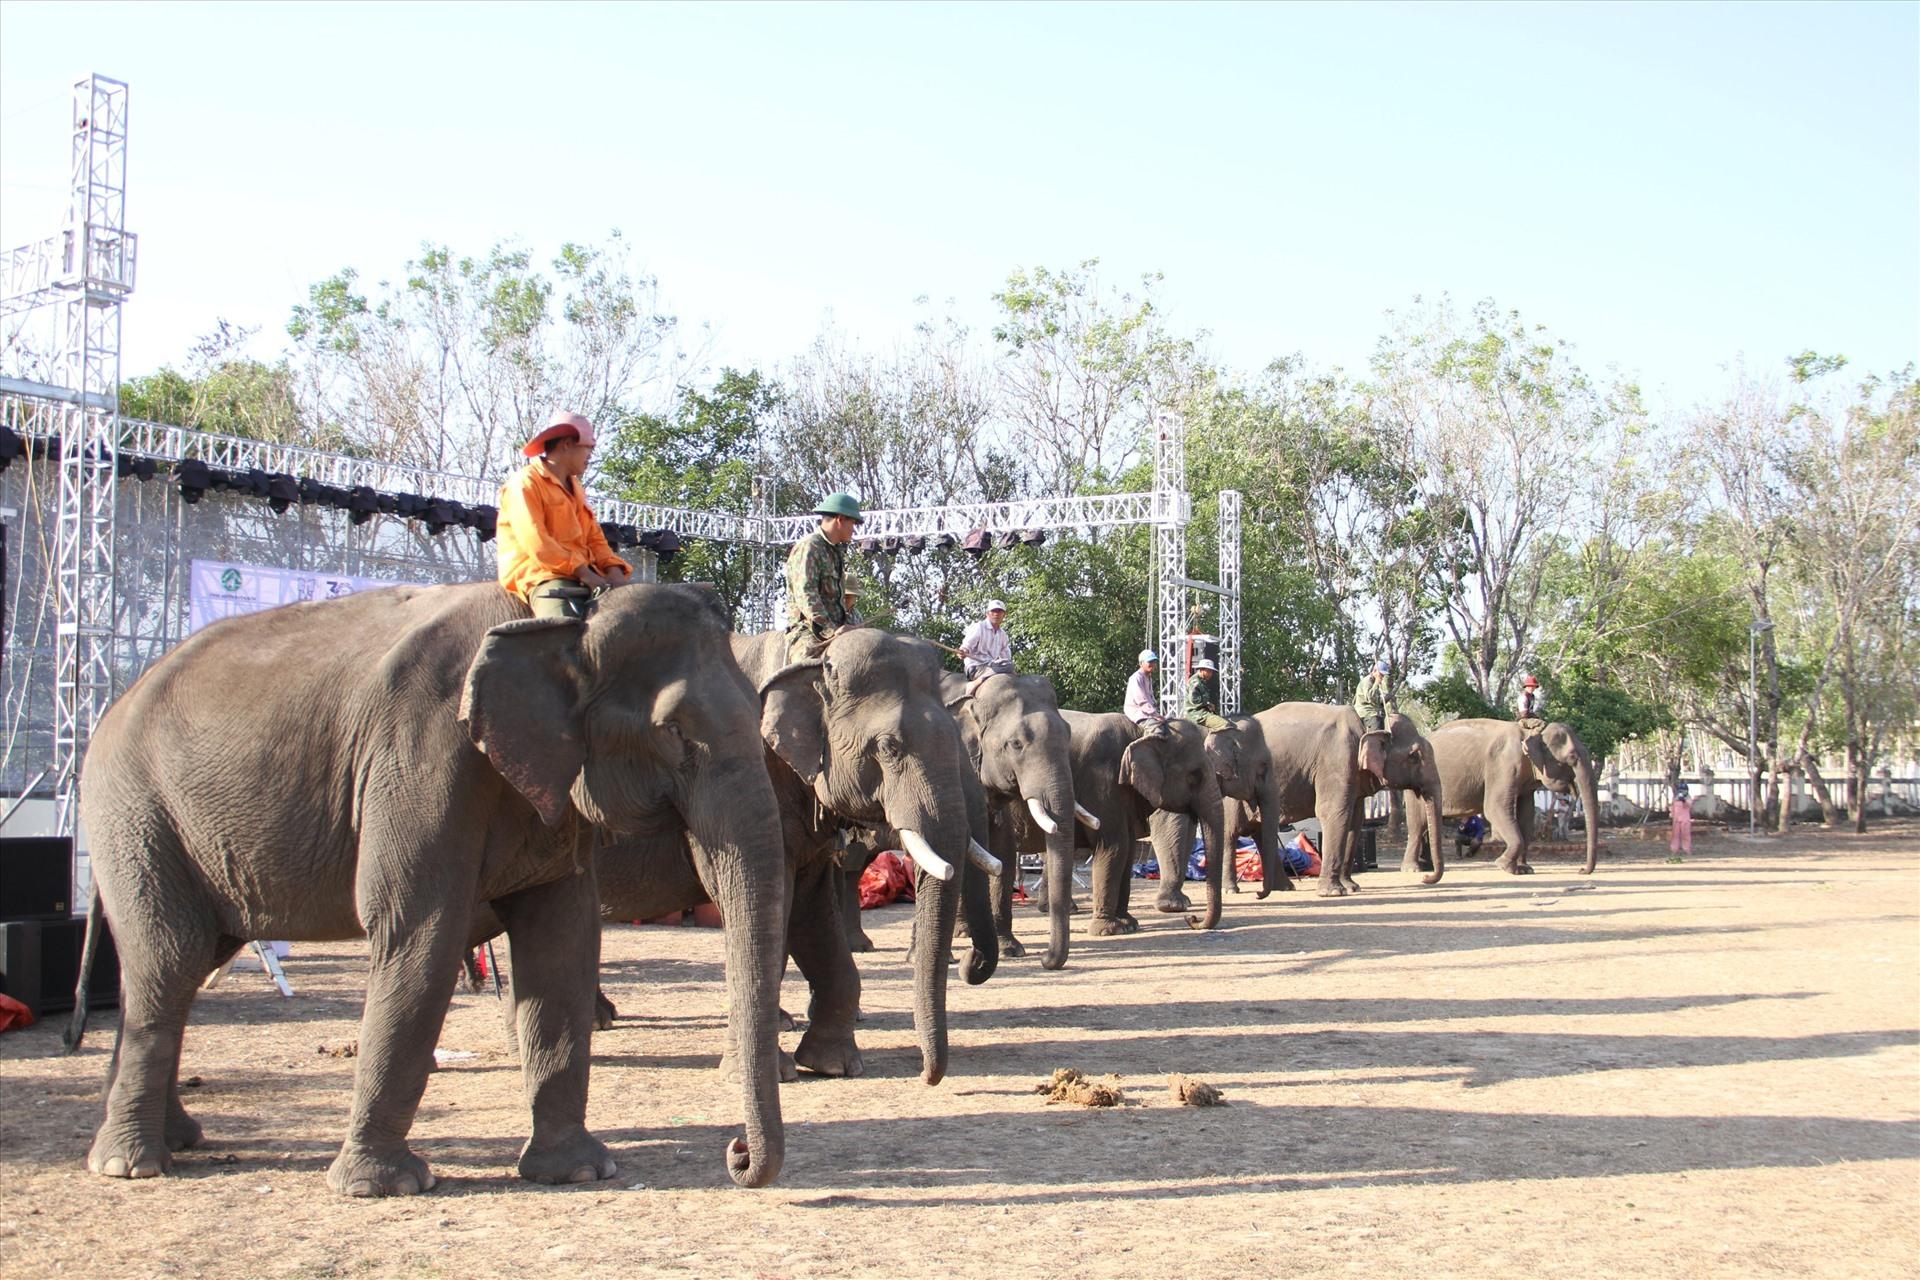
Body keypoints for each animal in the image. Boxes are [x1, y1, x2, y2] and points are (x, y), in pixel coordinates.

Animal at [76, 587, 787, 1197]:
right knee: (168, 959)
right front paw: (380, 1188)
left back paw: (168, 1140)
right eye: (674, 733)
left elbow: (563, 937)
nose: (734, 1153)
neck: (558, 625)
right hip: (135, 815)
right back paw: (132, 1164)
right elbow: (419, 928)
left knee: (183, 964)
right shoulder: (421, 754)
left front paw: (580, 1172)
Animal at [1036, 717, 1228, 936]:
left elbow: (1128, 851)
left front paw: (1129, 924)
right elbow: (1115, 847)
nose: (1192, 919)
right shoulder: (1102, 782)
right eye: (1195, 775)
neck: (1142, 732)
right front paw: (1109, 930)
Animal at [1228, 706, 1443, 898]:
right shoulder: (1337, 760)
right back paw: (1232, 889)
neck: (1367, 726)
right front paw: (1332, 892)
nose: (1425, 878)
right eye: (1414, 756)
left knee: (1261, 831)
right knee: (1232, 832)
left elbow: (1354, 821)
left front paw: (1352, 887)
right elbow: (1334, 813)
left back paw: (1284, 888)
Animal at [1405, 717, 1597, 875]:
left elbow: (1526, 815)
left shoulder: (1525, 779)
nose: (1581, 870)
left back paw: (1427, 866)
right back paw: (1414, 869)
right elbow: (1494, 808)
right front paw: (1504, 866)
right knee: (1418, 824)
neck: (1531, 731)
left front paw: (1524, 869)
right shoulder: (1503, 765)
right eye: (1572, 757)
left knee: (1428, 824)